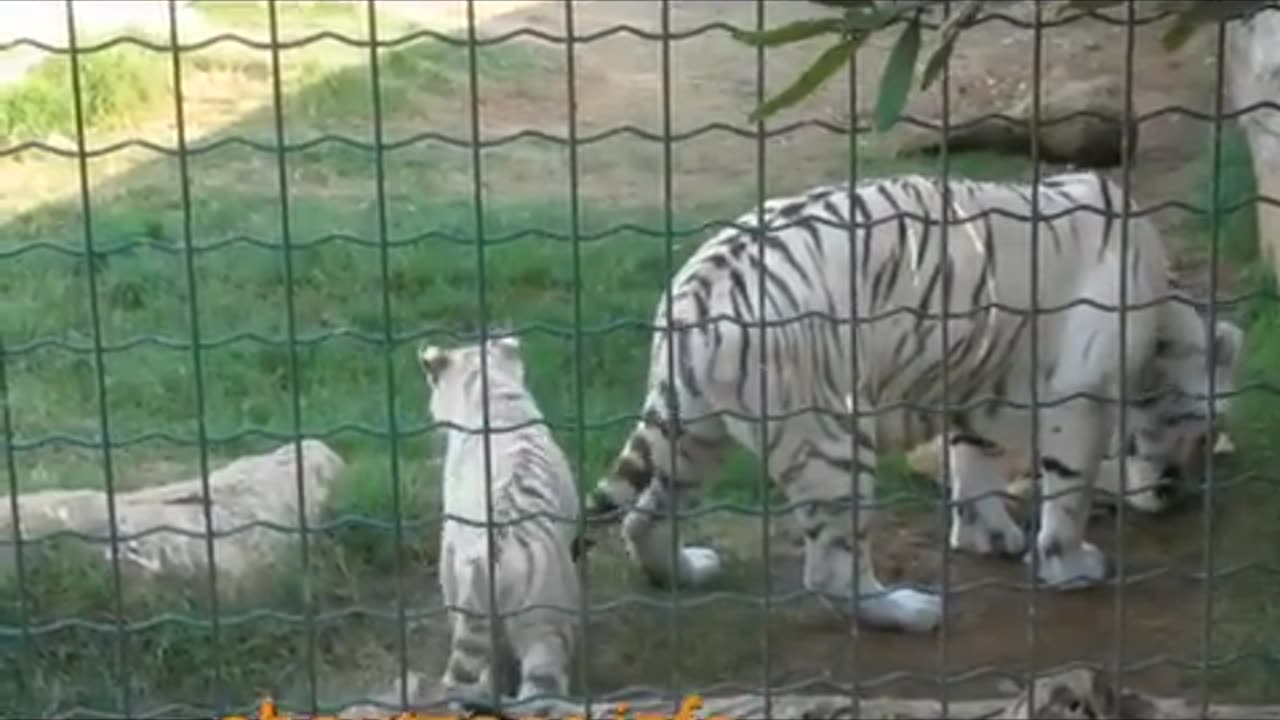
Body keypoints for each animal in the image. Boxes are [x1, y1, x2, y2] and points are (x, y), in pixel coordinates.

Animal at [581, 170, 1239, 630]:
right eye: (1203, 431)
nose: (1175, 490)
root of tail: (696, 292)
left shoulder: (974, 379)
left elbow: (972, 462)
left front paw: (987, 536)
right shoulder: (1079, 401)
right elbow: (1068, 493)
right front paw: (1068, 567)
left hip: (695, 436)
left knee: (642, 514)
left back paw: (684, 570)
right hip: (832, 443)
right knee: (829, 569)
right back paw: (910, 611)